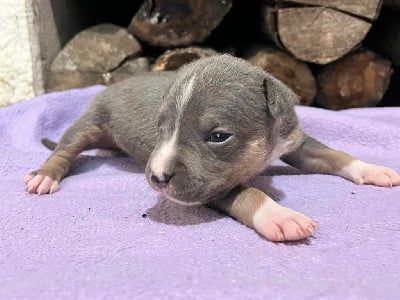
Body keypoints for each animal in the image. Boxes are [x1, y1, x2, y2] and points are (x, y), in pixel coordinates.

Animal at [25, 54, 400, 241]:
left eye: (218, 137)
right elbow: (249, 194)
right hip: (88, 121)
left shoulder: (295, 140)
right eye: (160, 128)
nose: (157, 178)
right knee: (64, 150)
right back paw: (45, 175)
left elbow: (333, 155)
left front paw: (374, 170)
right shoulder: (210, 187)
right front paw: (280, 217)